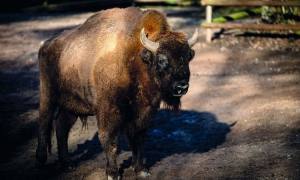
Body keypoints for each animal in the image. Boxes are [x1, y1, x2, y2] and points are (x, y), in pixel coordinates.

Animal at [35, 6, 198, 179]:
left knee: (61, 127)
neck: (136, 59)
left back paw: (68, 164)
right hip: (48, 96)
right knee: (44, 123)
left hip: (71, 106)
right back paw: (40, 162)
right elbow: (110, 141)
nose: (181, 86)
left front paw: (141, 170)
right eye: (161, 59)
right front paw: (113, 173)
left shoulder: (143, 113)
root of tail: (46, 45)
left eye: (187, 58)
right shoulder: (109, 112)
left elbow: (138, 141)